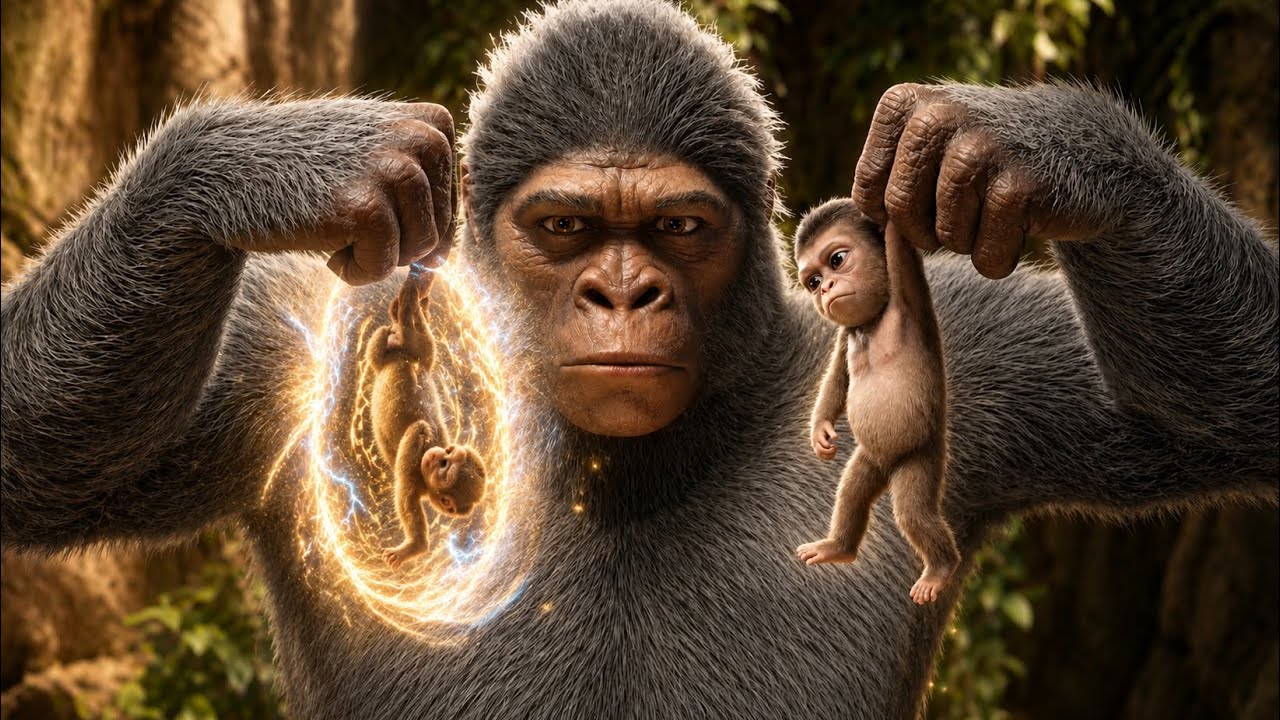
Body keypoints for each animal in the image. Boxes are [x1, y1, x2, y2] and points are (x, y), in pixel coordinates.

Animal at [364, 265, 488, 570]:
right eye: (447, 457)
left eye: (444, 466)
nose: (439, 455)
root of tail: (403, 354)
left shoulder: (414, 460)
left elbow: (407, 499)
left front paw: (414, 547)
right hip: (418, 354)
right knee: (423, 352)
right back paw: (411, 302)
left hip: (402, 350)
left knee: (389, 348)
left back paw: (405, 312)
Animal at [792, 199, 961, 605]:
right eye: (813, 282)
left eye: (837, 260)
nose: (826, 288)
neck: (872, 320)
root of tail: (888, 467)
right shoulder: (845, 333)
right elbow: (838, 379)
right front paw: (820, 431)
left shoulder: (907, 289)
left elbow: (899, 243)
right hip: (870, 460)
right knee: (853, 490)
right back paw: (837, 548)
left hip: (922, 457)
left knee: (914, 512)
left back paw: (940, 570)